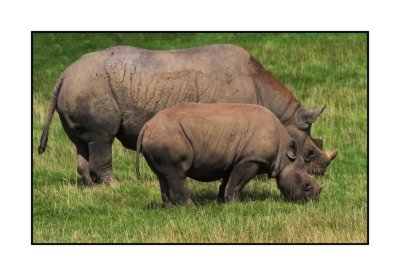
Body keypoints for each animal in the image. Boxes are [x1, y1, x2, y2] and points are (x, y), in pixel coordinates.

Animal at [136, 102, 324, 204]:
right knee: (177, 173)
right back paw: (190, 207)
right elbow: (237, 182)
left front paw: (222, 201)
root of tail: (146, 126)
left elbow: (227, 180)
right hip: (168, 135)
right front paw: (235, 204)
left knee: (164, 174)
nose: (314, 200)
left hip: (159, 136)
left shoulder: (234, 158)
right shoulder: (250, 159)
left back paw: (170, 207)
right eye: (307, 185)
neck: (284, 156)